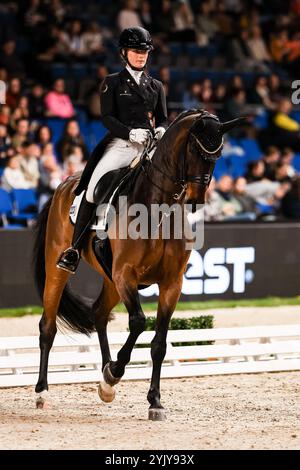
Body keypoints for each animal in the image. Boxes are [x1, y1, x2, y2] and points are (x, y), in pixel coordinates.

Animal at [33, 111, 244, 422]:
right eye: (195, 151)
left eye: (217, 155)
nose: (196, 200)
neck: (159, 208)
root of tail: (64, 184)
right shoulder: (126, 275)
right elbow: (138, 322)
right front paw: (116, 372)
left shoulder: (171, 284)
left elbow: (159, 343)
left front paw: (153, 400)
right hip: (59, 267)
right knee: (48, 326)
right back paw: (43, 392)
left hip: (110, 281)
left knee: (98, 314)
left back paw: (106, 384)